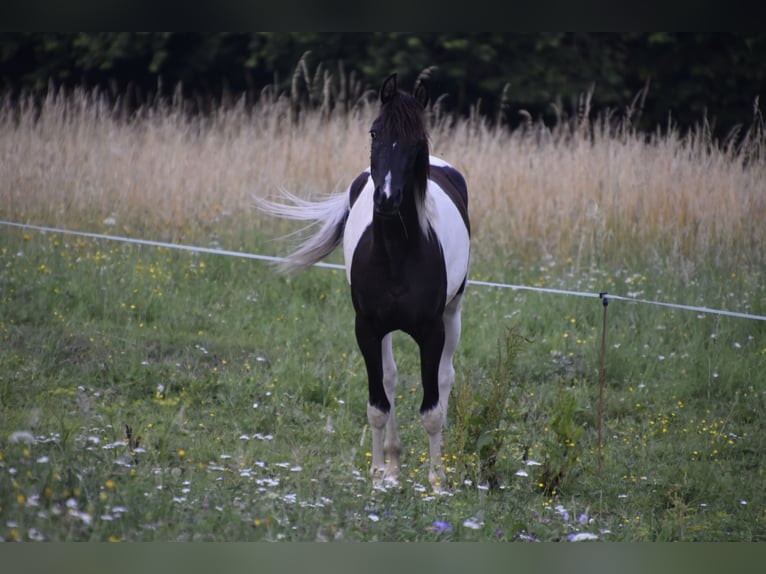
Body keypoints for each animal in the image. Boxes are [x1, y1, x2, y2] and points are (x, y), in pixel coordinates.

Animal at [258, 73, 472, 496]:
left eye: (417, 141)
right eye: (375, 132)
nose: (387, 199)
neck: (396, 256)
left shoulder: (431, 332)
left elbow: (432, 410)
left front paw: (436, 483)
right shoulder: (368, 328)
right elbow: (378, 403)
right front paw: (377, 476)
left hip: (453, 314)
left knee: (444, 379)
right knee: (389, 380)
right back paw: (393, 467)